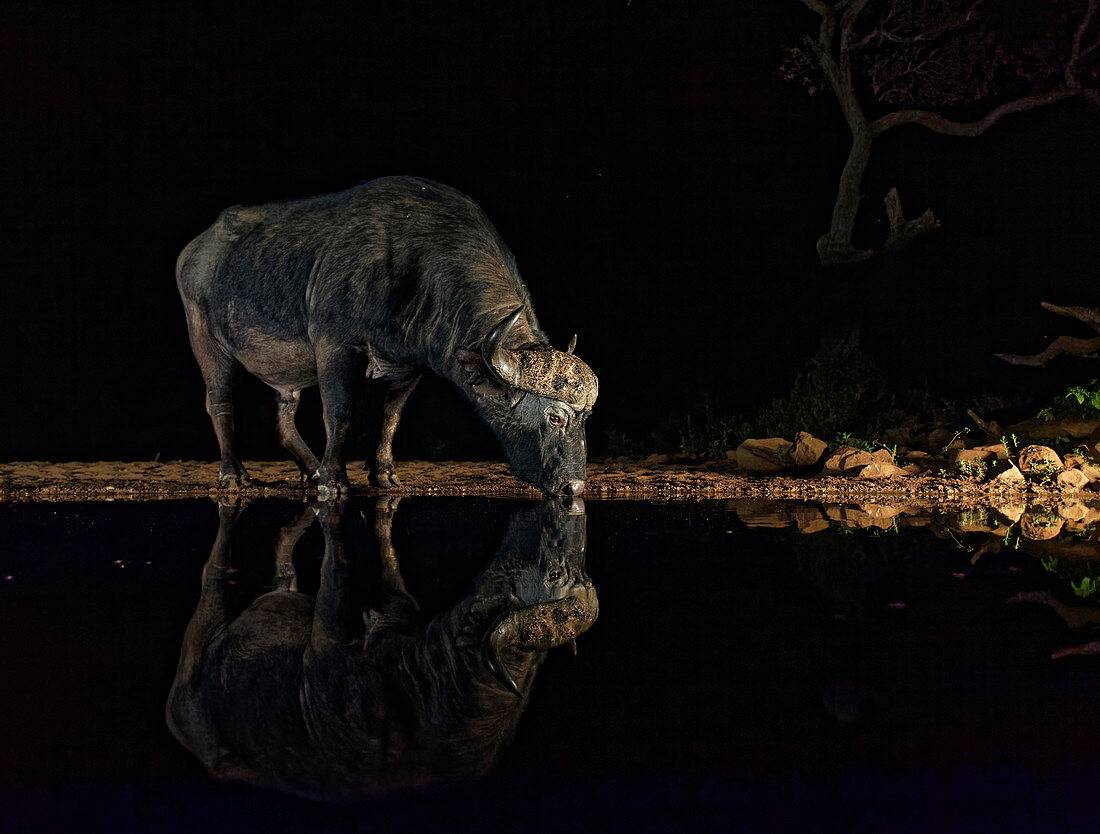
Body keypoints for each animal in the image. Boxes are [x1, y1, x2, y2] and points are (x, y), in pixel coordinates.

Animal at [176, 176, 598, 497]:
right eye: (554, 417)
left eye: (586, 419)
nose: (574, 488)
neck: (411, 266)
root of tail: (194, 250)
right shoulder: (335, 347)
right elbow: (340, 413)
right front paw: (334, 480)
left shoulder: (409, 364)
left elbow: (390, 416)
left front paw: (383, 474)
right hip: (206, 342)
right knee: (219, 403)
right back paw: (235, 474)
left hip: (284, 373)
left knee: (282, 418)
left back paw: (311, 471)